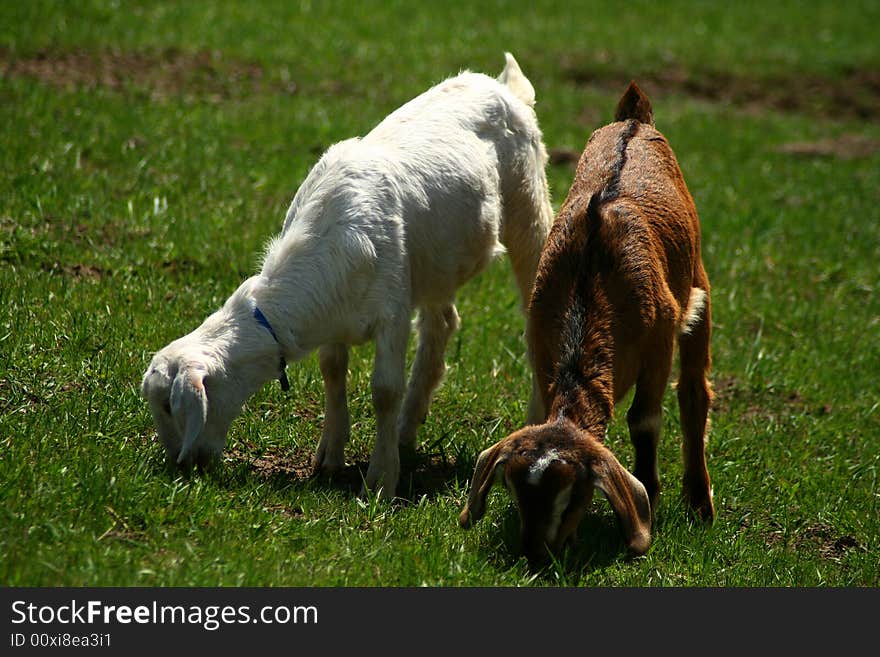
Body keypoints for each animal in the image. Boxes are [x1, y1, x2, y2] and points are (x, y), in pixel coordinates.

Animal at [141, 52, 552, 498]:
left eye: (169, 405)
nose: (182, 466)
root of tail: (502, 85)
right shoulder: (336, 314)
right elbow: (332, 372)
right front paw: (330, 456)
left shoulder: (392, 310)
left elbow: (384, 390)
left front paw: (381, 478)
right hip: (436, 259)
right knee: (441, 324)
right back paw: (408, 428)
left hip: (530, 210)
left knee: (533, 318)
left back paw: (533, 421)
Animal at [460, 82, 716, 560]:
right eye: (513, 489)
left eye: (574, 493)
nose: (535, 550)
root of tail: (633, 119)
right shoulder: (539, 339)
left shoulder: (658, 341)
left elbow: (645, 420)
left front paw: (650, 497)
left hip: (698, 284)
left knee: (694, 391)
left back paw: (700, 502)